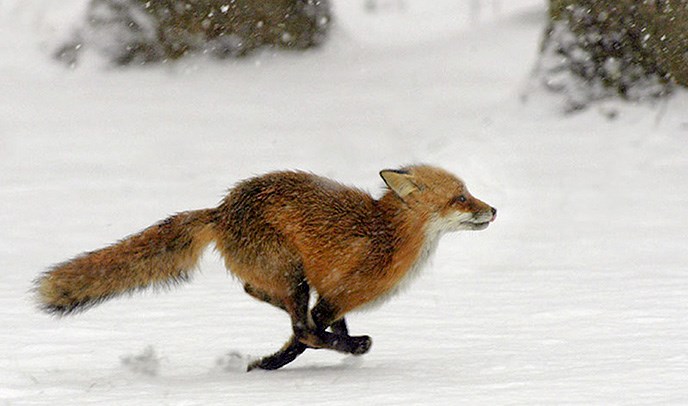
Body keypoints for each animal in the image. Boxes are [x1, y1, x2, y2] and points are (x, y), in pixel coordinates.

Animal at [35, 165, 498, 372]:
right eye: (460, 198)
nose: (493, 209)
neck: (387, 236)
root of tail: (220, 210)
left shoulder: (335, 296)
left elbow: (325, 329)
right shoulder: (334, 296)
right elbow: (308, 336)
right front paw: (273, 363)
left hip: (289, 277)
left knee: (256, 293)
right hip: (292, 273)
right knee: (298, 324)